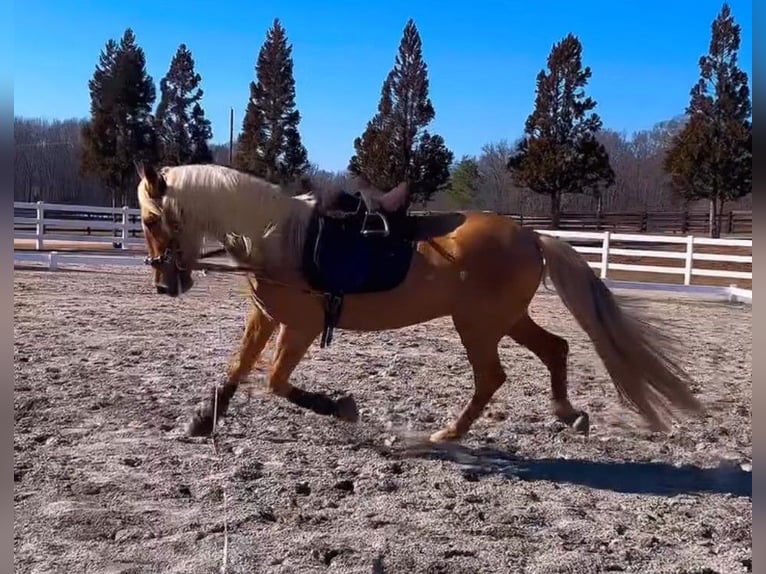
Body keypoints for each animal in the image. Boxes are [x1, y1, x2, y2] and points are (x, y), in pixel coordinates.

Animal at [134, 161, 704, 443]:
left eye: (149, 218)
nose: (165, 284)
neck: (280, 238)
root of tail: (533, 236)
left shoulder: (298, 327)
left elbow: (275, 382)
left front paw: (341, 407)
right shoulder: (266, 317)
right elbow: (235, 370)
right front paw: (200, 422)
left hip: (478, 325)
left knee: (492, 377)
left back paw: (446, 433)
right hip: (505, 319)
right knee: (556, 349)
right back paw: (568, 414)